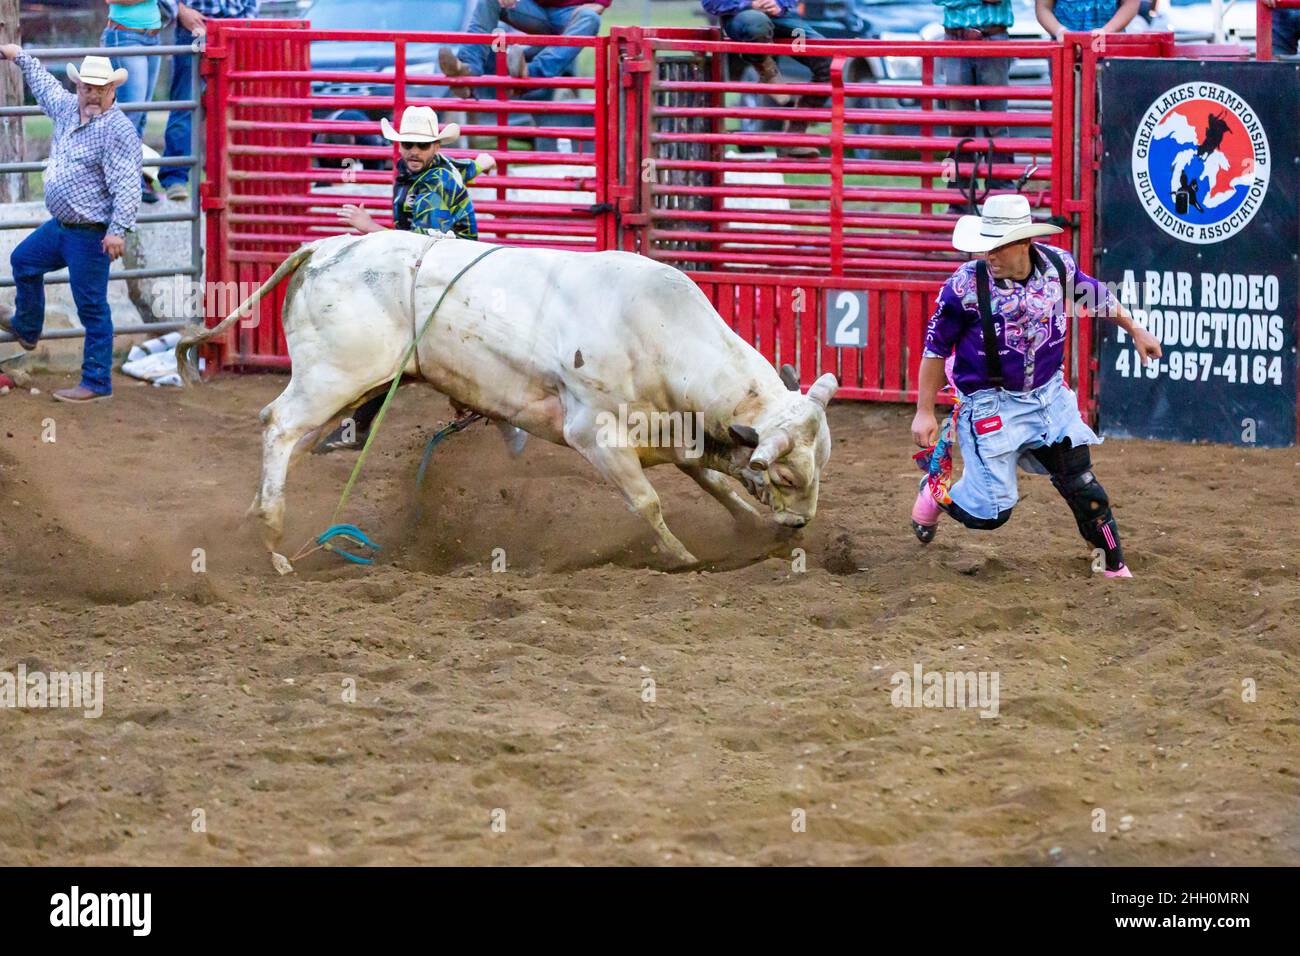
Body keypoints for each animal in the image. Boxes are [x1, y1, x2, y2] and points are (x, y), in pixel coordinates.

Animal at [178, 230, 837, 574]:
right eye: (784, 471)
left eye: (819, 465)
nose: (801, 523)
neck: (656, 334)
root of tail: (323, 249)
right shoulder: (595, 436)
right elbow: (649, 504)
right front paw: (683, 557)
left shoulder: (675, 435)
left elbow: (718, 483)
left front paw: (753, 529)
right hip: (333, 377)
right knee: (279, 424)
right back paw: (272, 536)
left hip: (349, 386)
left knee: (289, 437)